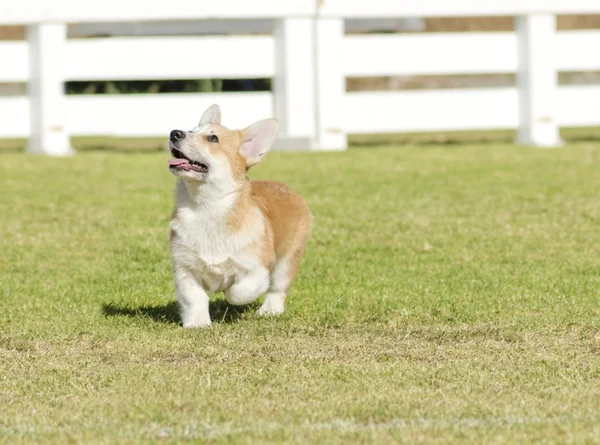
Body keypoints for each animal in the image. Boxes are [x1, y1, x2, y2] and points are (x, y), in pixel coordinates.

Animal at [168, 104, 312, 326]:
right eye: (192, 130)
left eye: (213, 138)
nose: (174, 133)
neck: (206, 207)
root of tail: (287, 188)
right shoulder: (184, 268)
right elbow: (194, 298)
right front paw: (198, 324)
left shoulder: (257, 267)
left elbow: (238, 291)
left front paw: (227, 290)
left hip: (288, 259)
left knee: (277, 288)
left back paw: (269, 311)